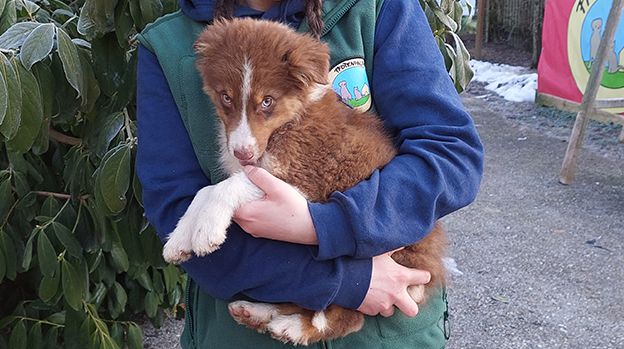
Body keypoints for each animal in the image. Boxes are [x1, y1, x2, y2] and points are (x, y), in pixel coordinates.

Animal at [162, 18, 448, 342]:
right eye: (226, 98)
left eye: (267, 101)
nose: (242, 152)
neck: (291, 119)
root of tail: (432, 266)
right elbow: (204, 190)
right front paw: (180, 239)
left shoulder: (304, 176)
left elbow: (224, 187)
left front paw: (206, 230)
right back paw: (257, 312)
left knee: (348, 314)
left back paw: (293, 327)